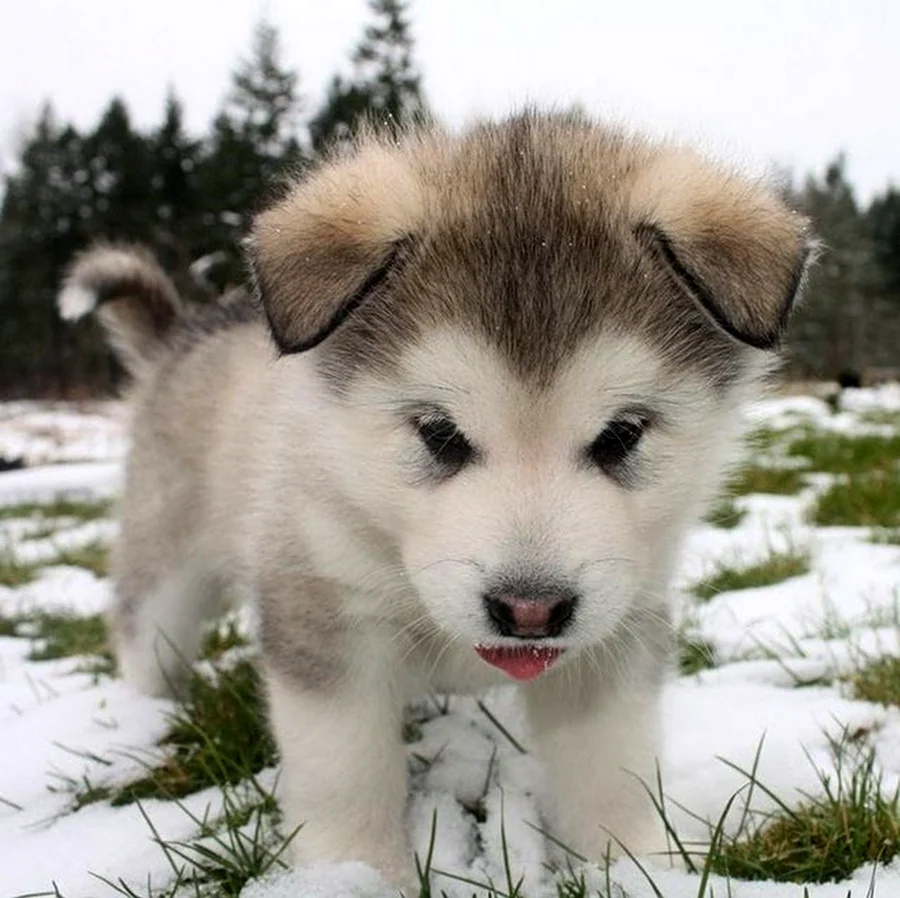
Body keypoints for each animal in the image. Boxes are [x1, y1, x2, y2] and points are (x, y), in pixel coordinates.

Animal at [58, 114, 816, 888]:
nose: (530, 610)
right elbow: (346, 771)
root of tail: (181, 337)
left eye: (622, 434)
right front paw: (354, 873)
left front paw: (635, 866)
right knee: (145, 630)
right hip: (168, 562)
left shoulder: (616, 631)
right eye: (439, 433)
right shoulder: (324, 618)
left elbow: (611, 763)